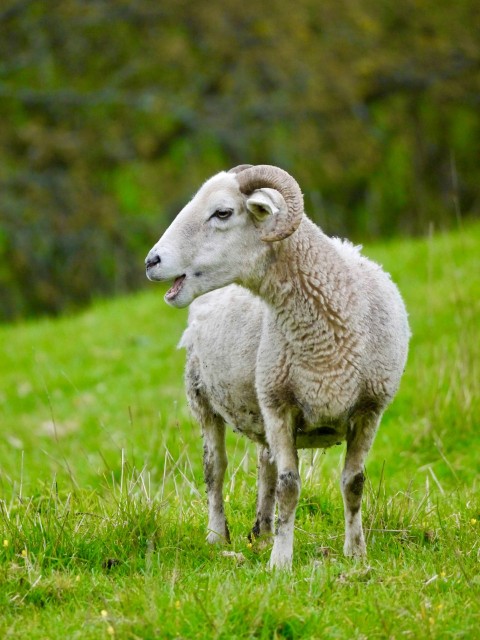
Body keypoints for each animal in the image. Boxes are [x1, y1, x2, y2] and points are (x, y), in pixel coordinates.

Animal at [145, 165, 408, 568]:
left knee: (264, 464)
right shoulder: (279, 405)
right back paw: (218, 535)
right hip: (203, 397)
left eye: (223, 212)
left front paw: (356, 552)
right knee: (215, 468)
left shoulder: (370, 409)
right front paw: (282, 561)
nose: (151, 261)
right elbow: (290, 486)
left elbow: (353, 483)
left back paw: (264, 531)